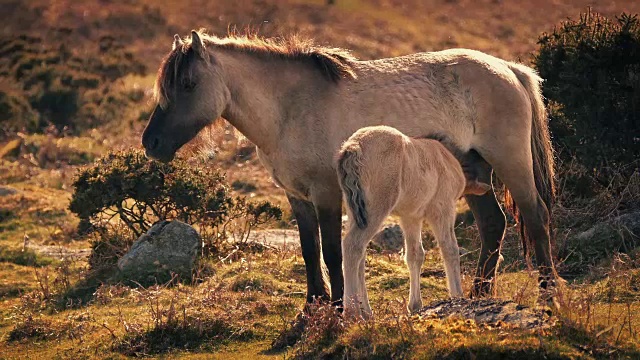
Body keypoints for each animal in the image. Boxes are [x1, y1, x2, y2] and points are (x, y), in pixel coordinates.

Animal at [338, 124, 488, 318]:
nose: (486, 186)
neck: (446, 156)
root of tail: (354, 146)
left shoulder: (411, 217)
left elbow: (415, 255)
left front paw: (415, 305)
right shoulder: (443, 208)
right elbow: (450, 249)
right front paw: (457, 296)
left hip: (355, 212)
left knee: (360, 254)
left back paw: (366, 311)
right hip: (377, 207)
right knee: (352, 246)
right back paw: (353, 312)